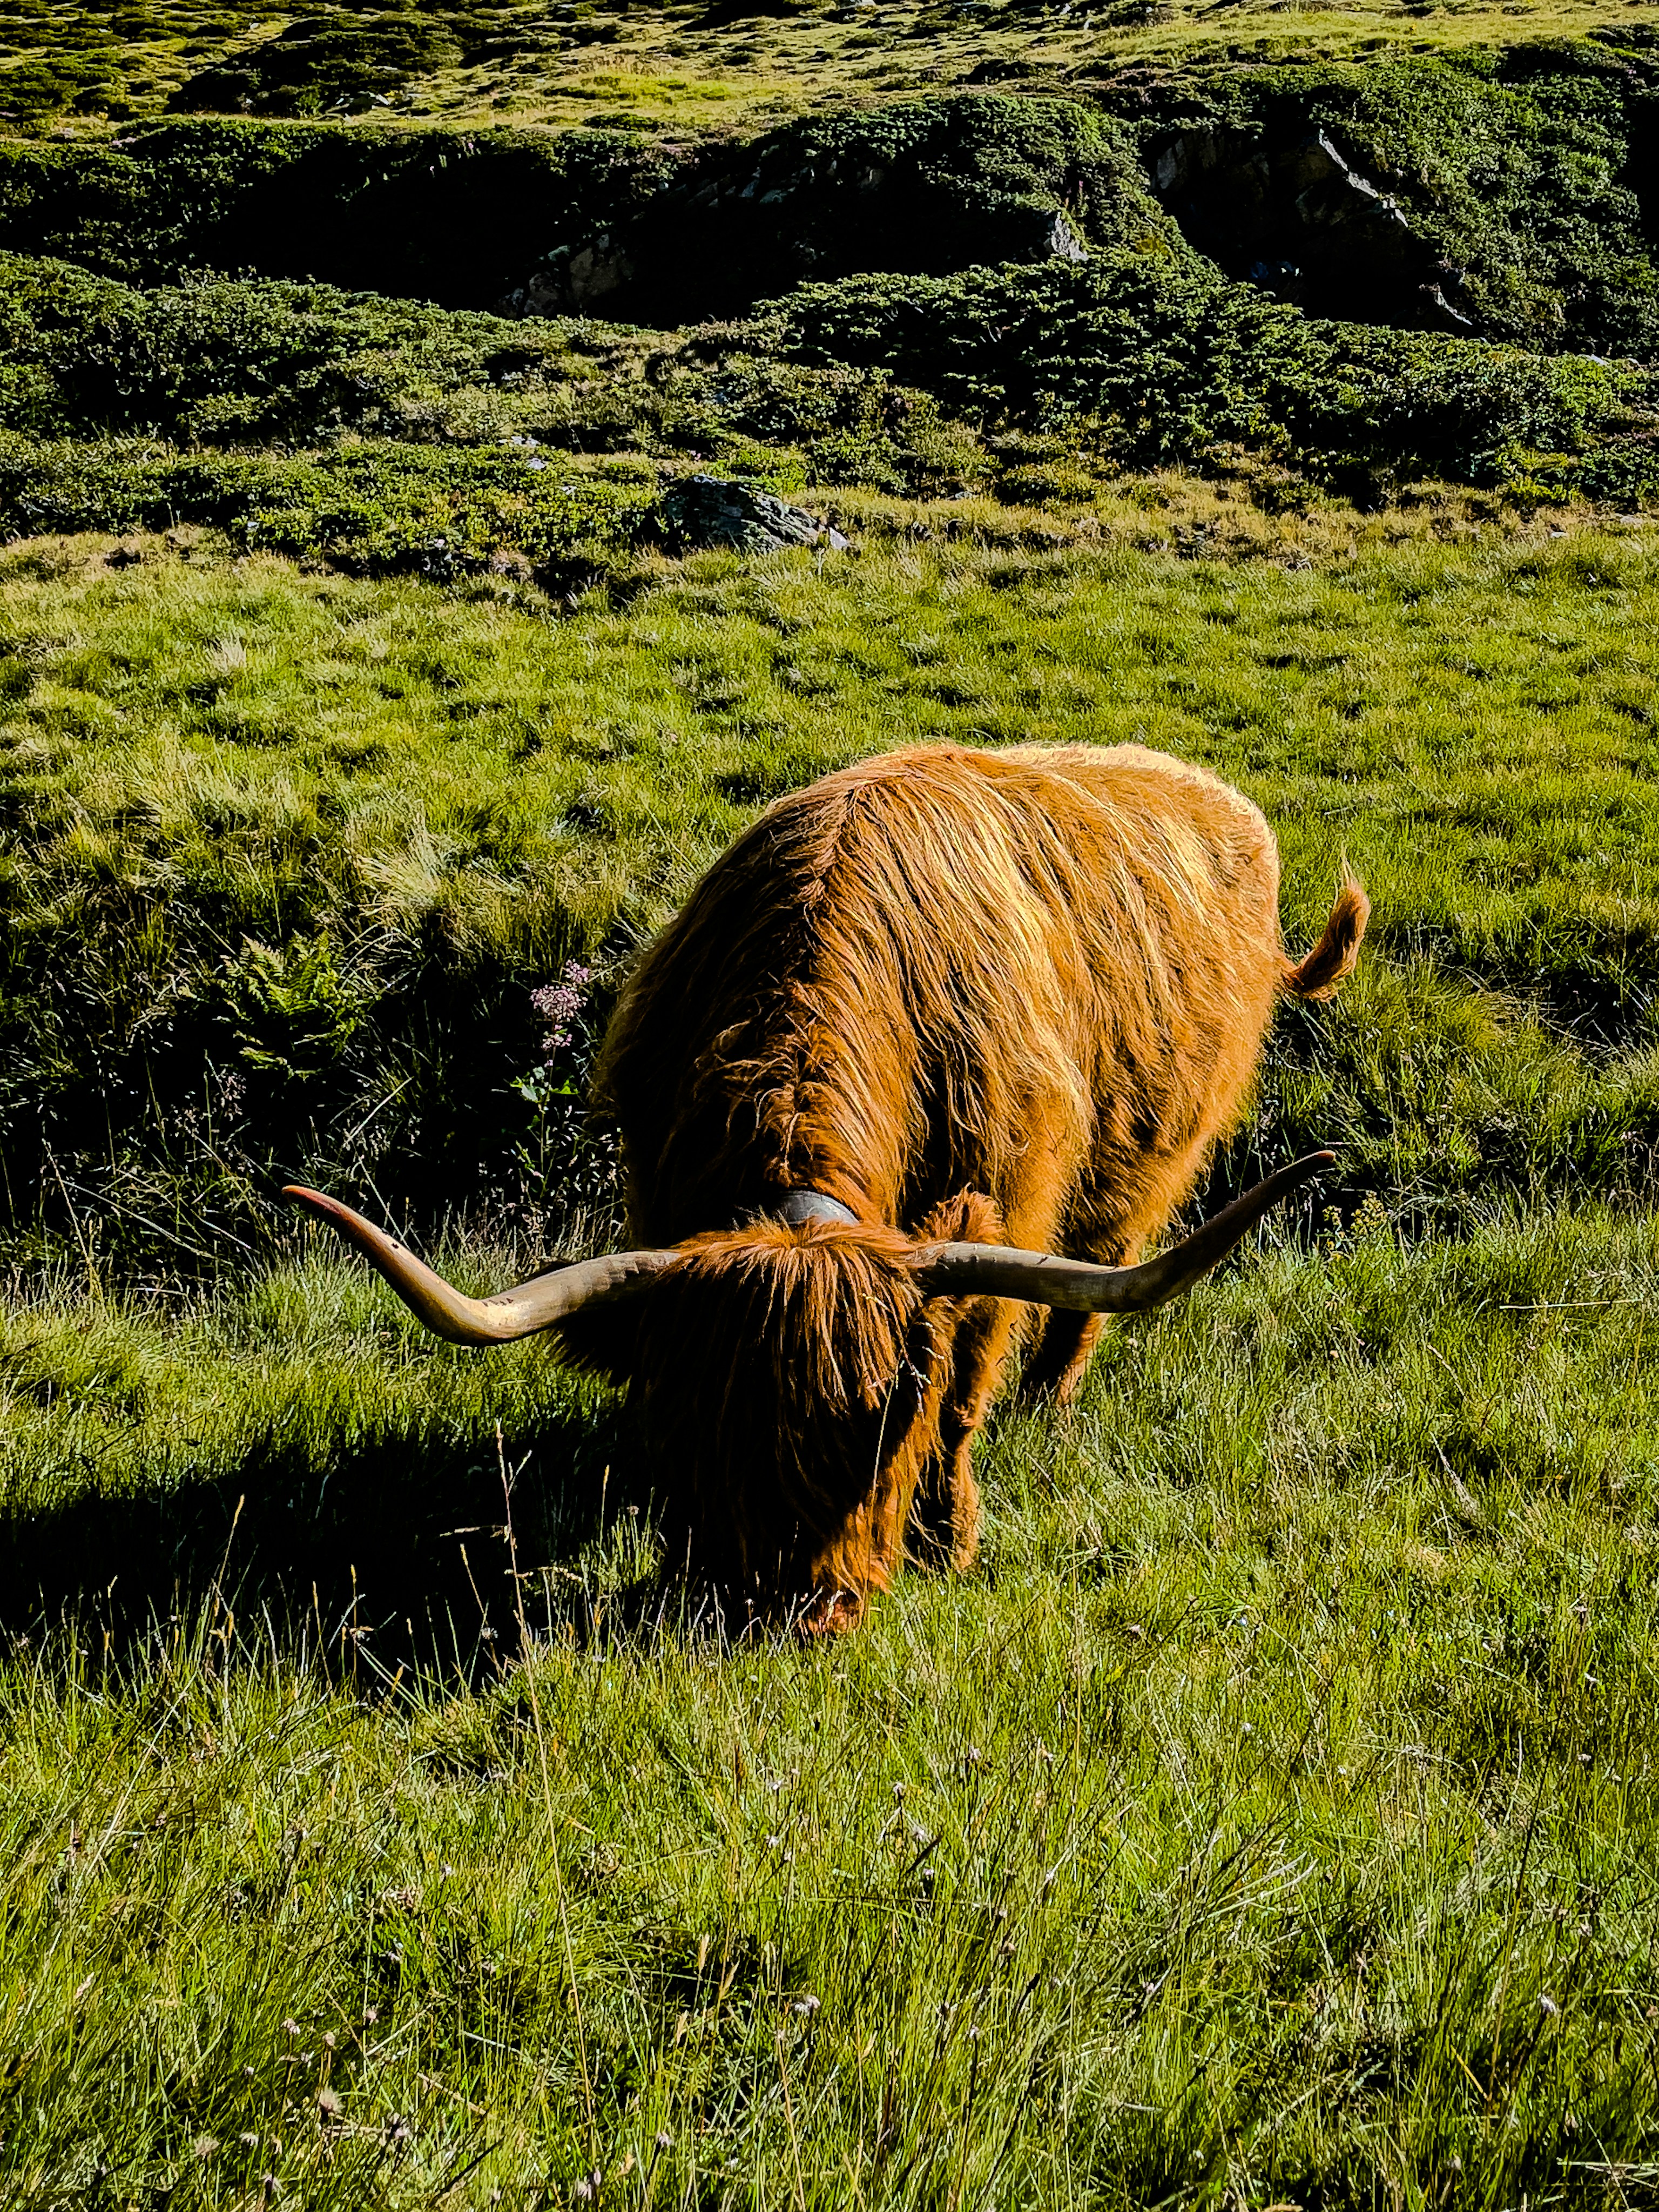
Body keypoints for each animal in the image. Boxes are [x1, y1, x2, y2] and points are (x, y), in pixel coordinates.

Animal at [287, 742, 1367, 1630]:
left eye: (885, 1418)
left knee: (1094, 1278)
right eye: (704, 1419)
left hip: (1151, 1162)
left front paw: (949, 1540)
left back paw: (1047, 1405)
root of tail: (1217, 797)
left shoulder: (999, 1220)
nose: (795, 1610)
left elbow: (964, 1392)